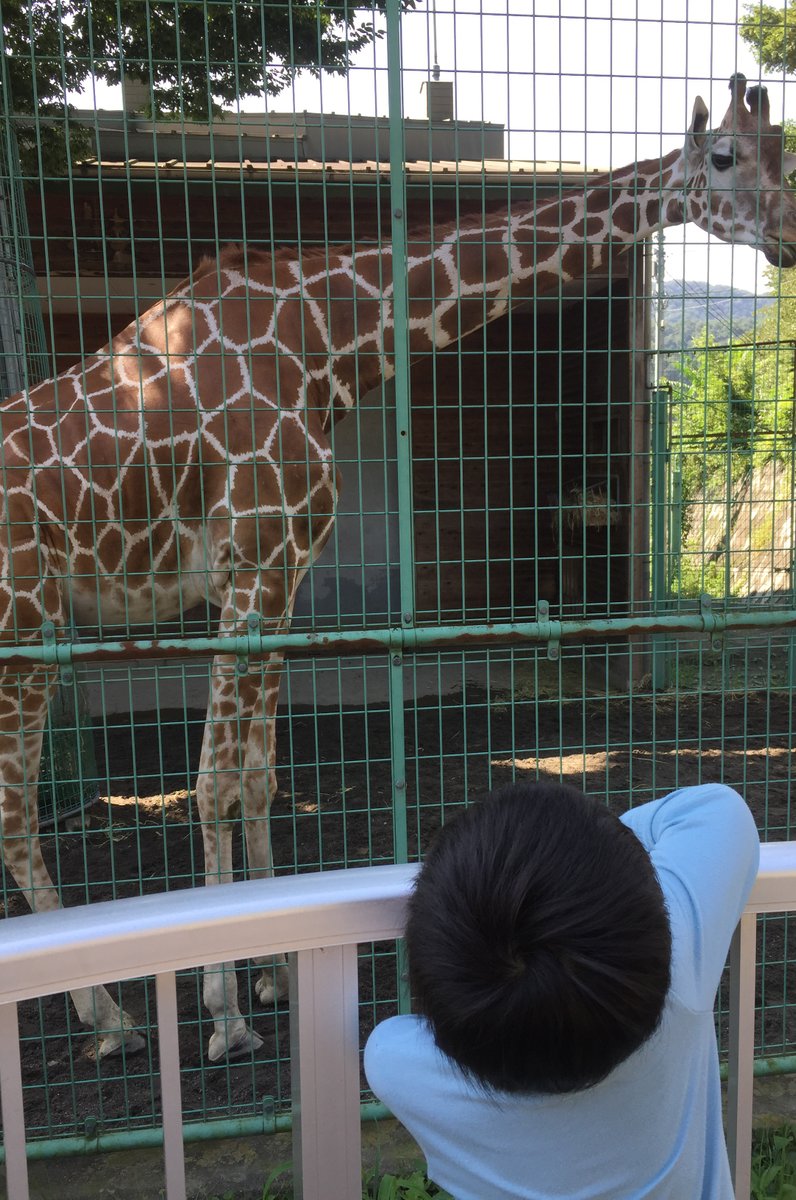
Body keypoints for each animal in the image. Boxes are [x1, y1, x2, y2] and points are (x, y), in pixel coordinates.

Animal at [0, 72, 792, 1060]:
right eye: (724, 157)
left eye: (786, 154)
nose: (791, 234)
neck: (328, 342)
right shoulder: (248, 569)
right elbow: (212, 784)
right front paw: (225, 1016)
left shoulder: (280, 578)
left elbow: (257, 778)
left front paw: (272, 973)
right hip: (26, 629)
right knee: (15, 818)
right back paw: (109, 1021)